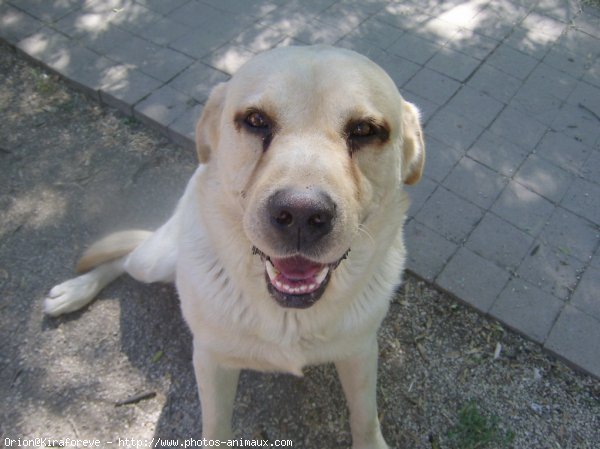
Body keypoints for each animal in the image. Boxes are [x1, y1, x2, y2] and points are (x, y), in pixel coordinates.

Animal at [44, 43, 424, 448]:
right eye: (256, 120)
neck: (288, 317)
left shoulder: (360, 352)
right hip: (154, 260)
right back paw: (73, 292)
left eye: (364, 130)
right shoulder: (212, 361)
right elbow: (215, 427)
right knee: (124, 258)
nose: (301, 214)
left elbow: (365, 416)